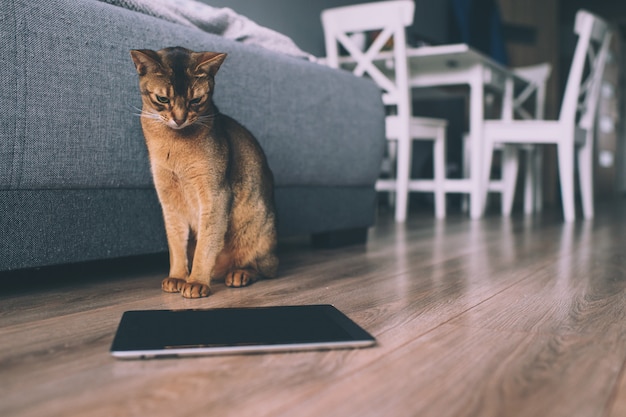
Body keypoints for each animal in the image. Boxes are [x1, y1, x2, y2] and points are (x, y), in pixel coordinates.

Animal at [130, 47, 276, 298]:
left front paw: (196, 281)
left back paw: (239, 274)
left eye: (196, 100)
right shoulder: (169, 200)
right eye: (162, 99)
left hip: (256, 228)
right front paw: (178, 277)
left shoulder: (215, 196)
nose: (179, 119)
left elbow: (205, 246)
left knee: (266, 267)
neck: (174, 146)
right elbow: (176, 243)